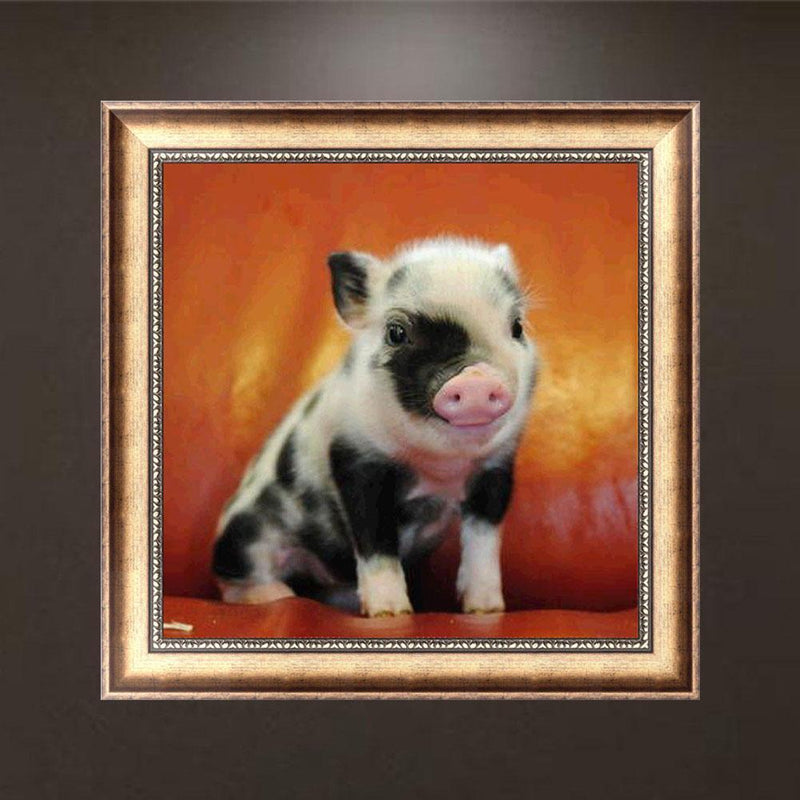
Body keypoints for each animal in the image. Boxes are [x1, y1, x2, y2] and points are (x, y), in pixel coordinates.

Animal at [211, 236, 538, 617]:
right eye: (396, 332)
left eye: (516, 327)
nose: (476, 379)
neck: (438, 466)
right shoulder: (355, 459)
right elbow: (375, 540)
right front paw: (390, 612)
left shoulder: (495, 470)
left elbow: (484, 542)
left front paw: (487, 609)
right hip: (244, 535)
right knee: (236, 577)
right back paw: (275, 596)